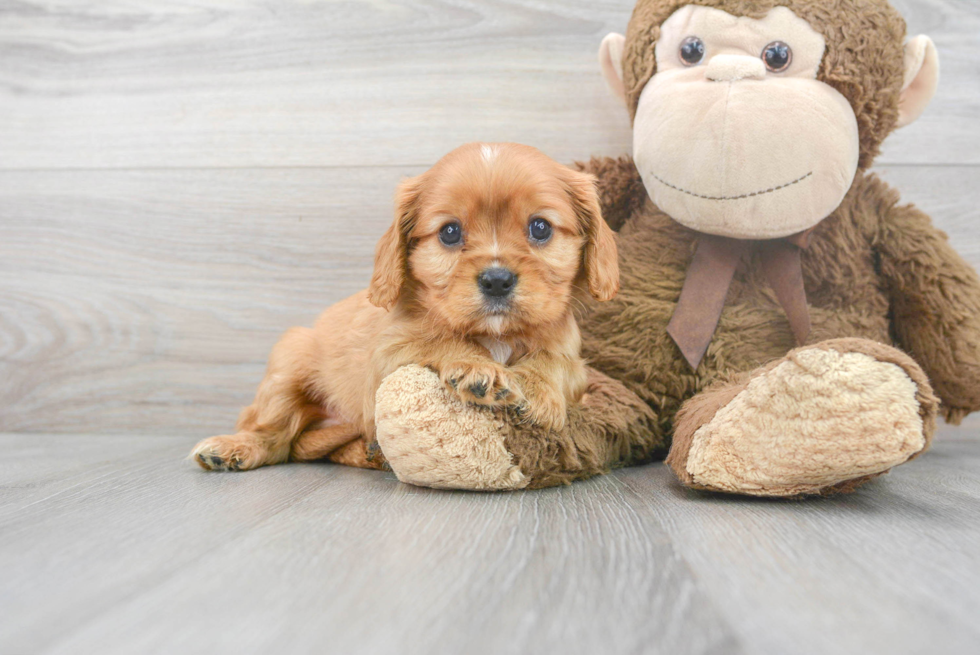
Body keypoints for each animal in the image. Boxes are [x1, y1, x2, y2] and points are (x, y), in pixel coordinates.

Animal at [192, 142, 620, 472]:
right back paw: (233, 448)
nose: (497, 280)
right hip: (288, 362)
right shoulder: (387, 356)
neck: (493, 335)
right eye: (450, 232)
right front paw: (475, 367)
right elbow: (436, 341)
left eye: (540, 227)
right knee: (276, 436)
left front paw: (534, 388)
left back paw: (372, 453)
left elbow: (555, 363)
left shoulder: (575, 362)